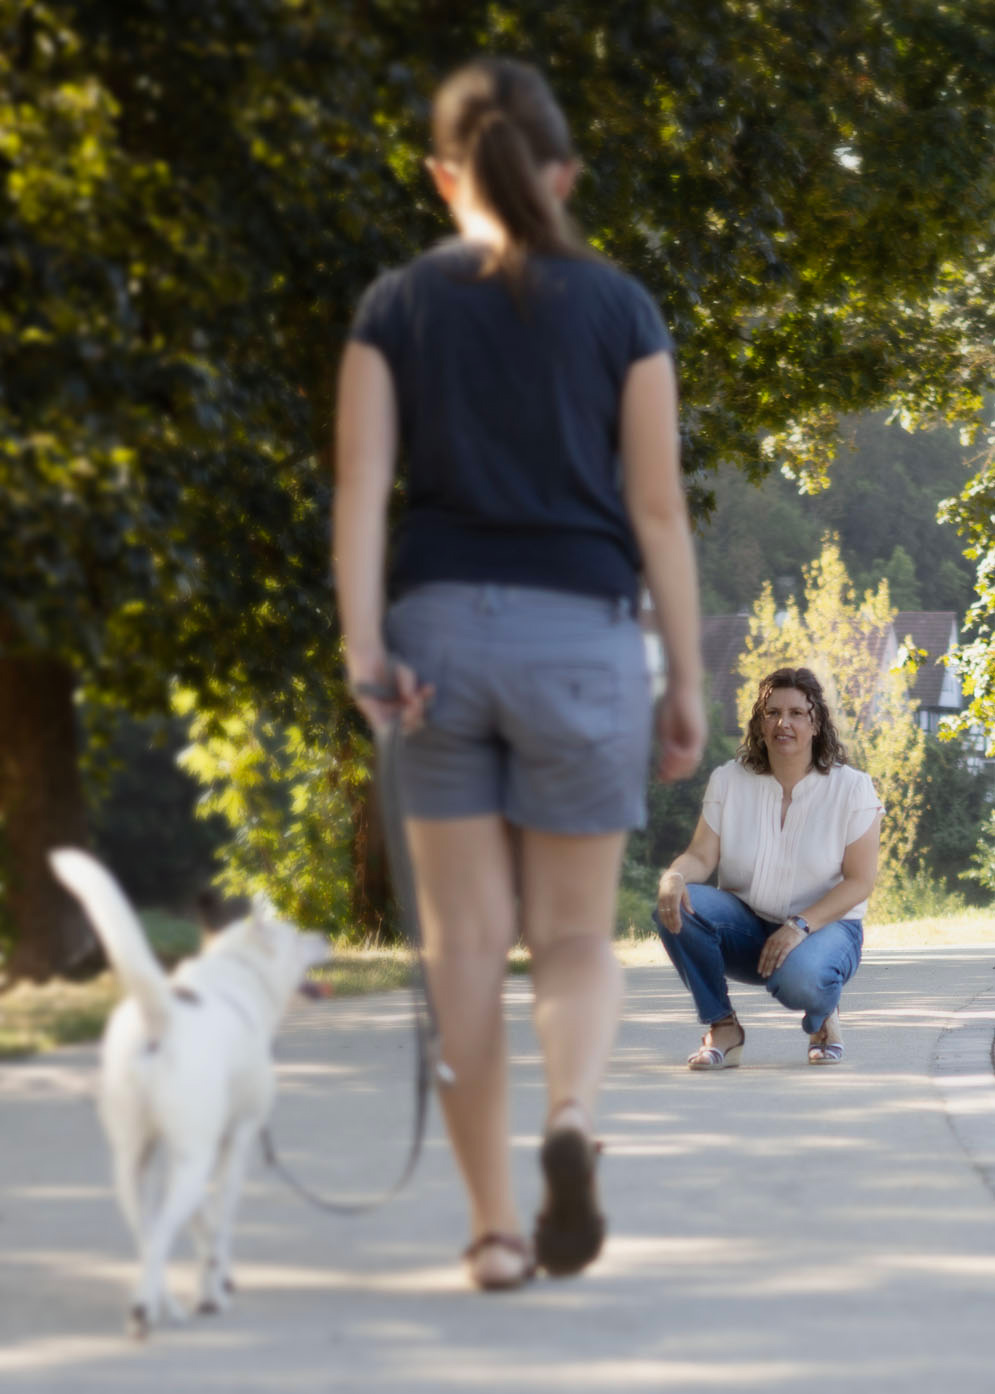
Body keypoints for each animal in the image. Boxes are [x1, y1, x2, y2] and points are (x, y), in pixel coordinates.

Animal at [48, 847, 327, 1338]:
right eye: (297, 939)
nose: (327, 937)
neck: (240, 973)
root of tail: (159, 1017)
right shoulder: (236, 1141)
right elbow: (221, 1221)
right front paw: (215, 1287)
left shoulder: (174, 1155)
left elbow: (201, 1223)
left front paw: (208, 1280)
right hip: (192, 1159)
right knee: (160, 1233)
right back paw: (148, 1309)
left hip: (131, 1164)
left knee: (147, 1233)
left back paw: (164, 1305)